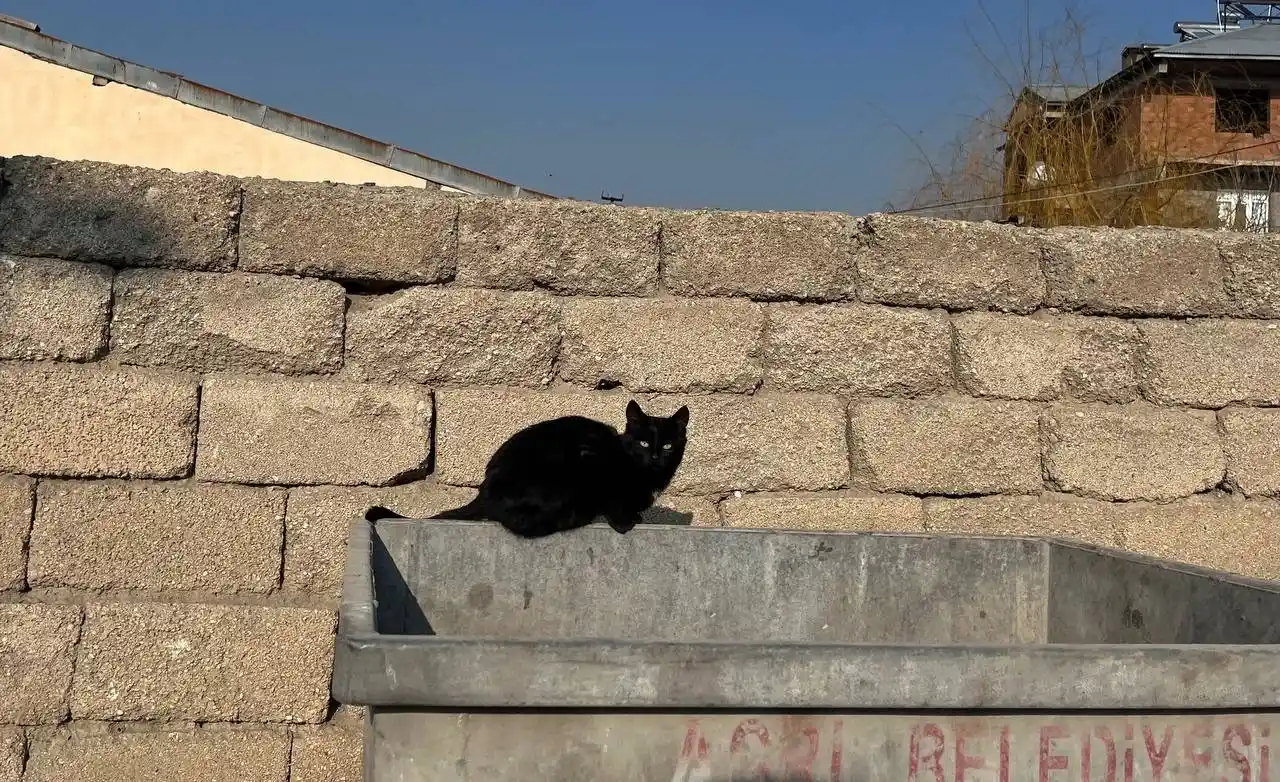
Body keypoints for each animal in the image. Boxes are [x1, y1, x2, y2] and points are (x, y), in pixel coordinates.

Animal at [368, 401, 691, 542]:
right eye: (644, 442)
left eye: (668, 446)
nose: (654, 457)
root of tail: (483, 492)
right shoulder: (592, 457)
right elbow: (610, 496)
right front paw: (624, 521)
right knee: (518, 521)